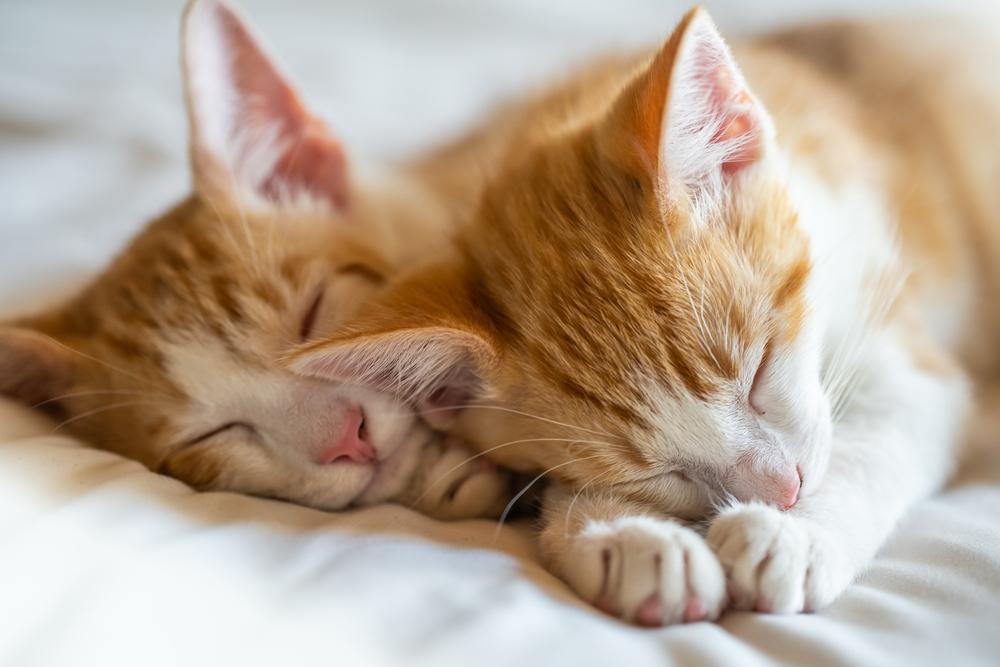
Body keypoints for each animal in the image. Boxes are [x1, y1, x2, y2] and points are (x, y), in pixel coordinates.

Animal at [292, 9, 996, 628]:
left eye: (761, 370)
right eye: (662, 473)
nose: (786, 492)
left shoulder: (896, 322)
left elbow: (883, 431)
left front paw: (790, 536)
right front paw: (625, 535)